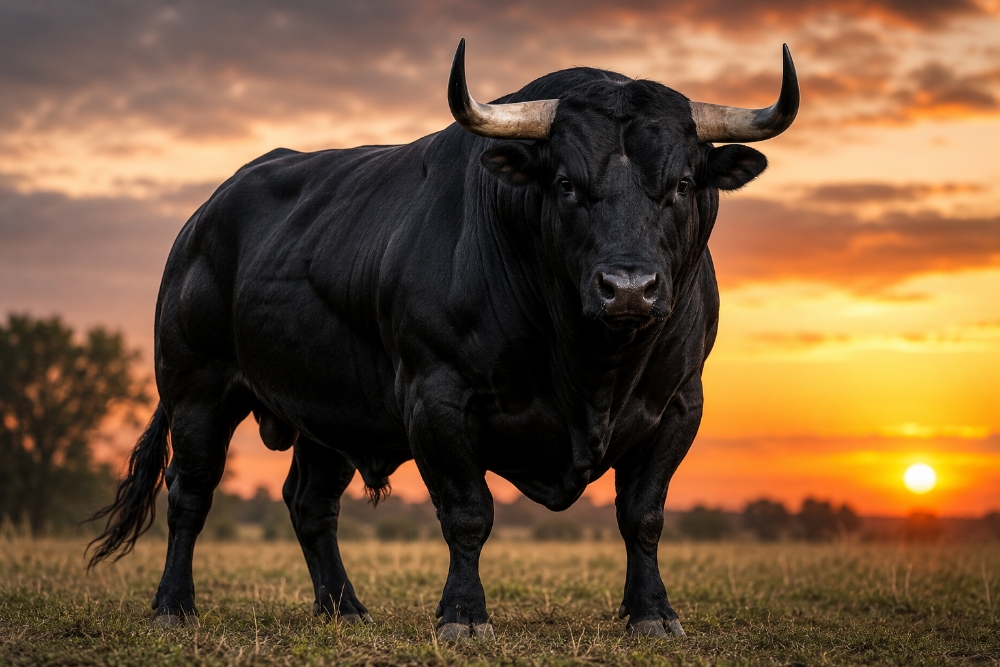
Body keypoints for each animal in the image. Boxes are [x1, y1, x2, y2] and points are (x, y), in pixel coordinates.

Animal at [89, 40, 798, 640]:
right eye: (566, 183)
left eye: (682, 184)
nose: (628, 287)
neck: (593, 369)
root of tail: (203, 217)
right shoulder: (438, 398)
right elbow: (468, 513)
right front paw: (463, 615)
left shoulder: (677, 403)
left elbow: (642, 515)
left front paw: (651, 613)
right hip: (198, 387)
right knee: (190, 491)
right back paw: (174, 607)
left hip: (331, 413)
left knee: (310, 504)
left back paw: (344, 608)